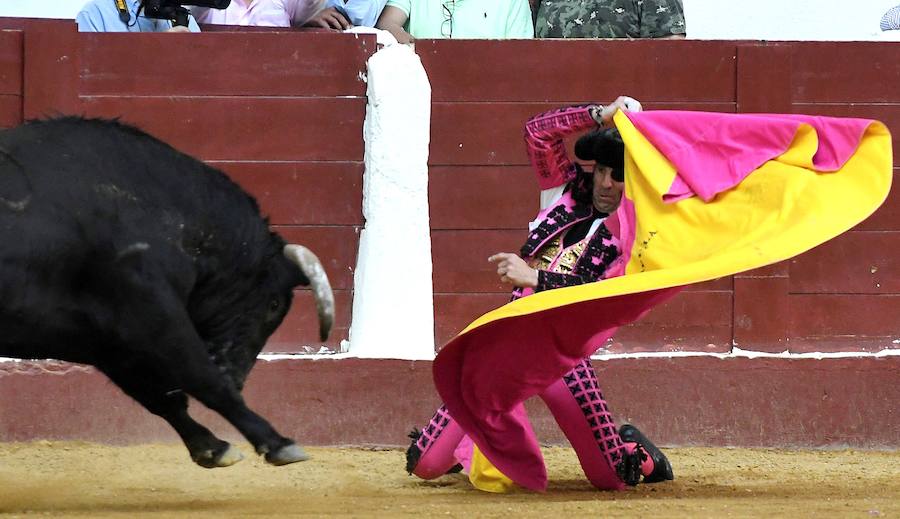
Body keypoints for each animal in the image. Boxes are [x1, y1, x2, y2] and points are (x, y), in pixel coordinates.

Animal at [0, 117, 334, 468]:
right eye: (274, 304)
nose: (238, 378)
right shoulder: (154, 317)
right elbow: (204, 379)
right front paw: (278, 442)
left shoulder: (105, 341)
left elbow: (162, 397)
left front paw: (212, 448)